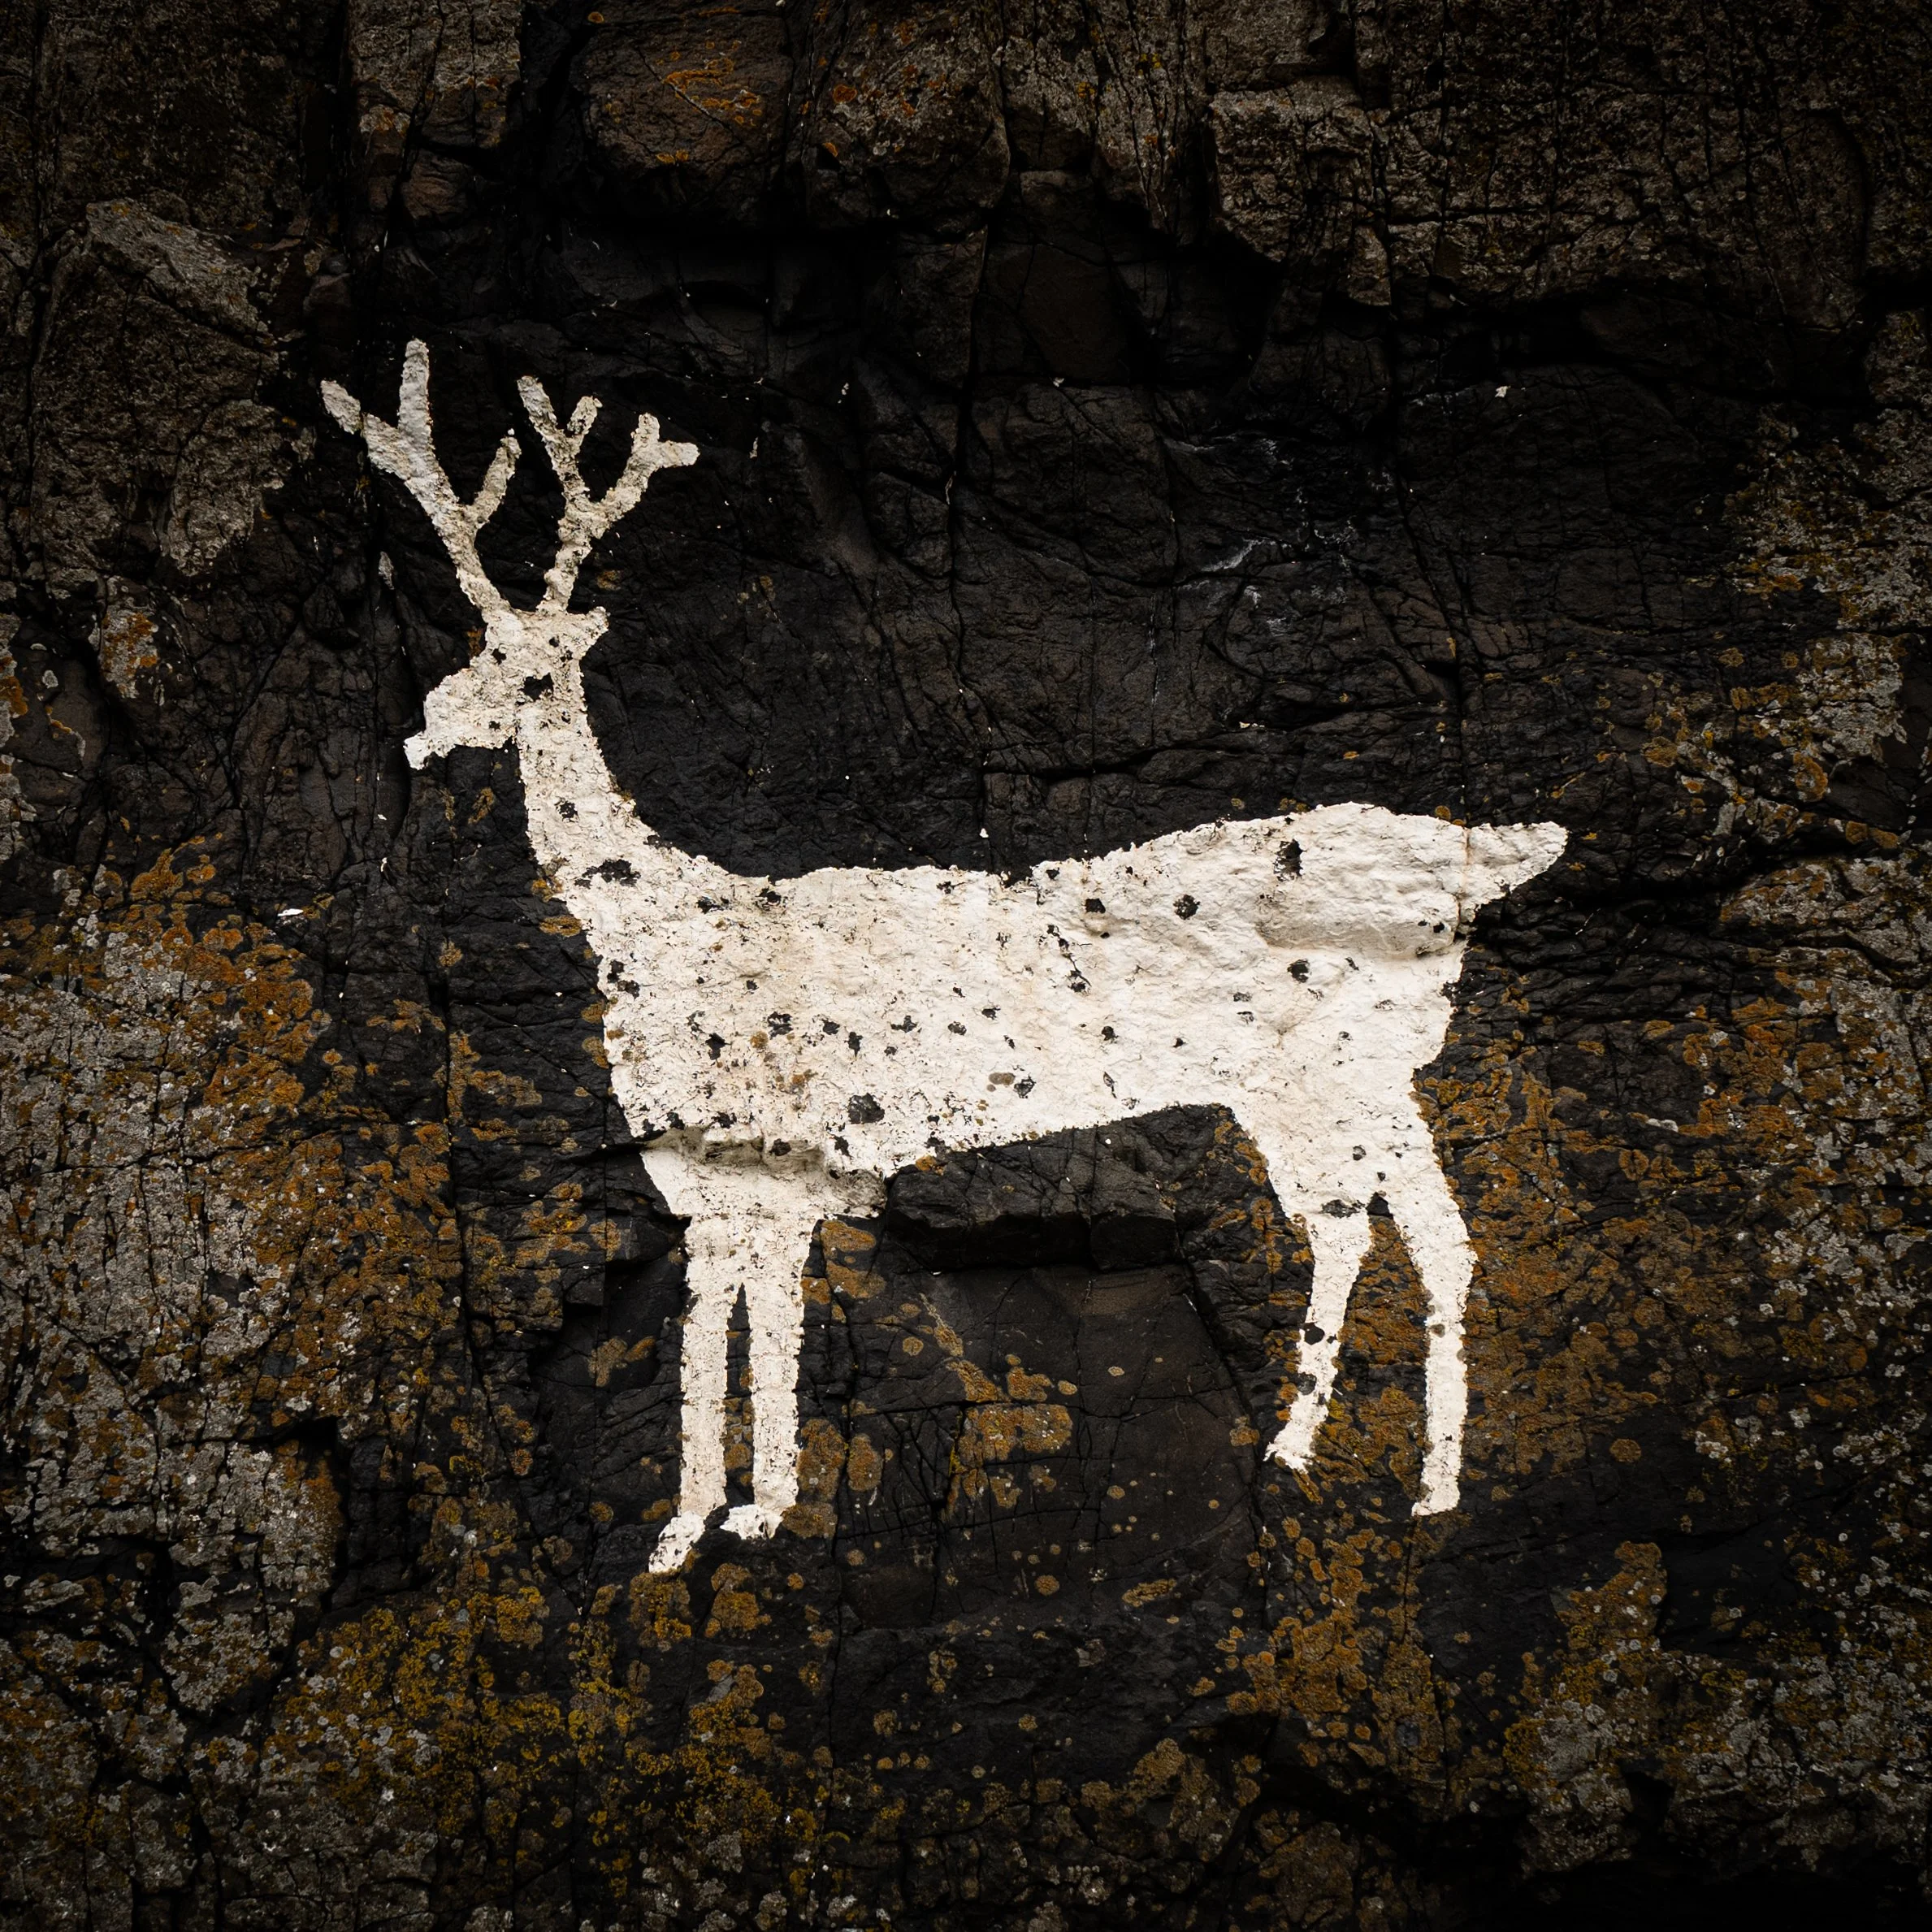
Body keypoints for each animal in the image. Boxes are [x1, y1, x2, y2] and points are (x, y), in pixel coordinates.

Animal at [323, 343, 1567, 1574]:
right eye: (475, 653)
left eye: (527, 669)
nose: (422, 733)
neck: (654, 929)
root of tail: (1477, 859)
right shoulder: (710, 1176)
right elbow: (717, 1325)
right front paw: (700, 1522)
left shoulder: (773, 1157)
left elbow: (758, 1323)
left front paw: (744, 1513)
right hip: (1342, 1084)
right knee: (1404, 1232)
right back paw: (1367, 1469)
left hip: (1338, 1074)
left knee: (1391, 1231)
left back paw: (1365, 1465)